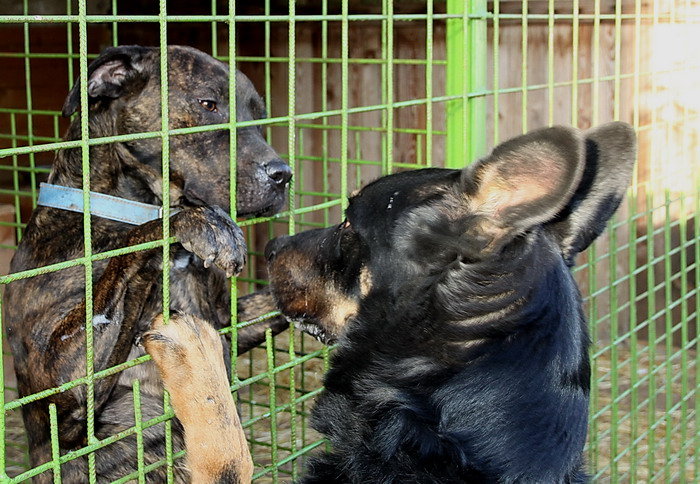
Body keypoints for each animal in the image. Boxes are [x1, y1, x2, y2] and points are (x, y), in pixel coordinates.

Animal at [4, 44, 288, 480]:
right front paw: (193, 221)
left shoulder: (229, 321)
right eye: (208, 104)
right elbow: (137, 242)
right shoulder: (61, 394)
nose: (283, 175)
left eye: (259, 115)